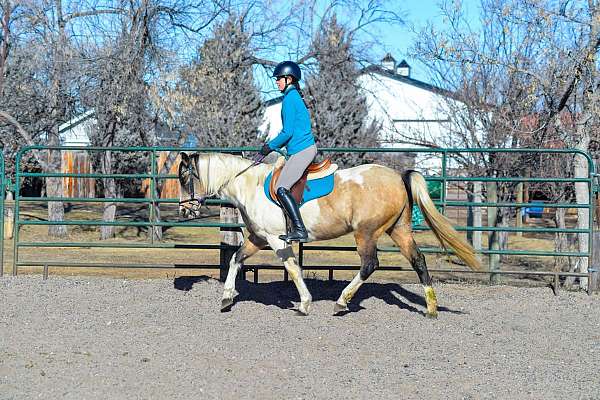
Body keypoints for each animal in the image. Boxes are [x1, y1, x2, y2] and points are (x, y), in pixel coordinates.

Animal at [178, 152, 482, 318]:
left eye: (184, 178)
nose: (185, 210)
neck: (248, 185)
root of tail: (397, 177)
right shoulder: (259, 238)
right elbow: (236, 260)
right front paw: (227, 297)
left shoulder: (276, 239)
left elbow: (293, 268)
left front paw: (304, 304)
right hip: (399, 230)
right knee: (418, 261)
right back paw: (431, 308)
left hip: (366, 233)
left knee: (370, 264)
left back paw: (341, 302)